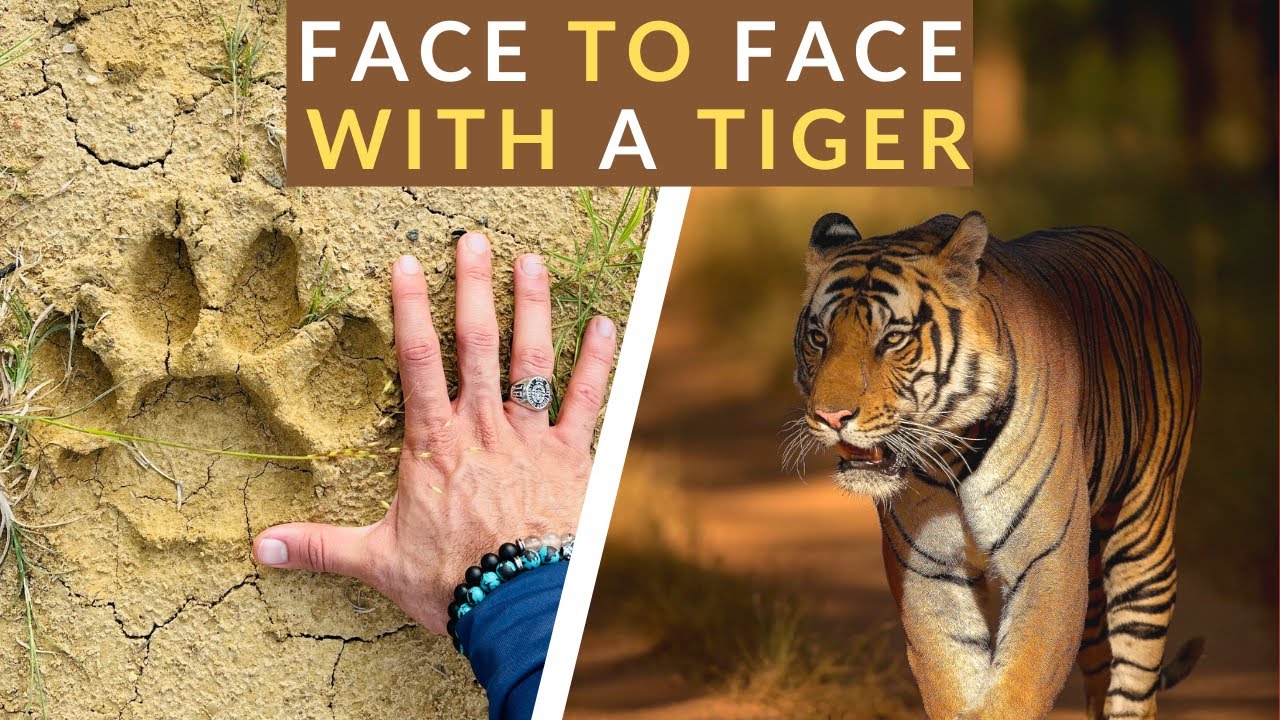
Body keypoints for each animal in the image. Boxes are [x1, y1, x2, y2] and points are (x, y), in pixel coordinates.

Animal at [790, 211, 1203, 719]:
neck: (951, 454)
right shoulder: (928, 567)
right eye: (819, 338)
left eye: (892, 339)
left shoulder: (1047, 560)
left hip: (1144, 536)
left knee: (1134, 676)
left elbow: (1018, 686)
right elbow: (951, 675)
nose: (830, 417)